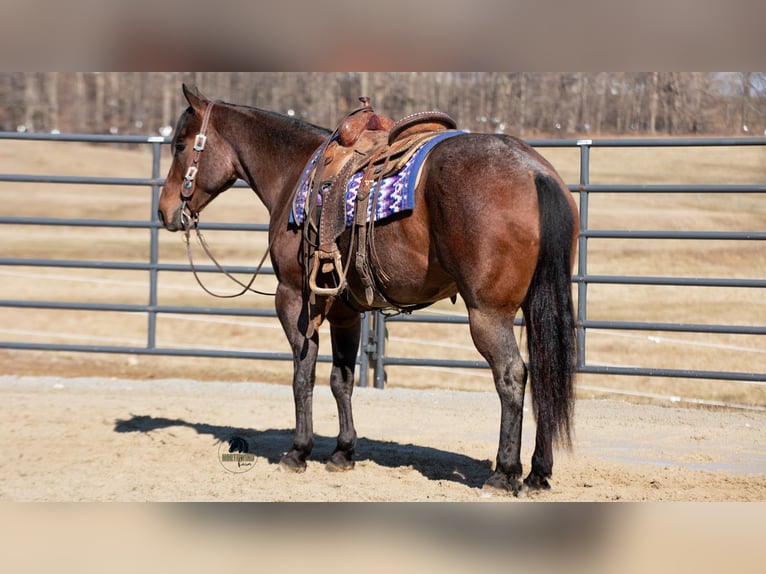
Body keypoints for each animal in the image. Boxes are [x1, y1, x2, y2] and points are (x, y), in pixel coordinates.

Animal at [157, 84, 579, 495]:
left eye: (180, 144)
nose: (164, 211)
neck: (293, 172)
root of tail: (535, 171)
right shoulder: (345, 310)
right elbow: (341, 379)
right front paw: (343, 452)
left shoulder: (293, 298)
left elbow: (303, 374)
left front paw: (298, 451)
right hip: (536, 306)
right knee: (545, 374)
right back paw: (538, 473)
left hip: (488, 314)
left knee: (511, 376)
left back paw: (503, 474)